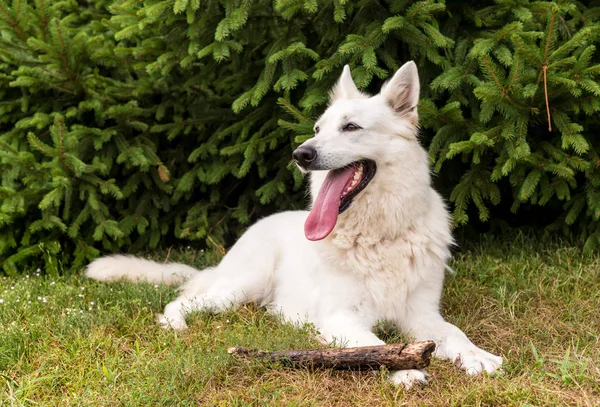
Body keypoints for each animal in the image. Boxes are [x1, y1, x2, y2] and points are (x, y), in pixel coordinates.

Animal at [86, 60, 504, 388]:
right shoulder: (341, 316)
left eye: (351, 127)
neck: (377, 234)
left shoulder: (422, 314)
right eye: (318, 130)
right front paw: (403, 369)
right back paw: (175, 323)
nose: (300, 154)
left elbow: (454, 333)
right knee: (183, 300)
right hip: (238, 287)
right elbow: (375, 345)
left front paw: (476, 355)